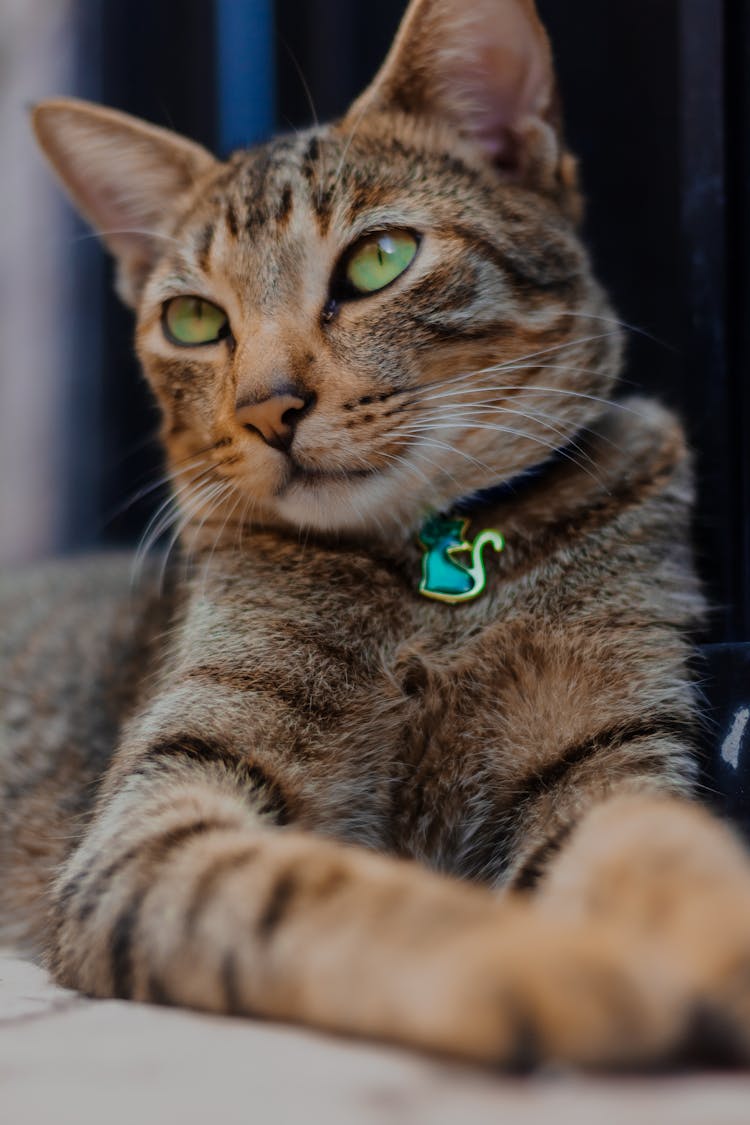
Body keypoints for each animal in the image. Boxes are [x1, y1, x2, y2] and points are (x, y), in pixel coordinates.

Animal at [4, 0, 750, 1066]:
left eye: (378, 260)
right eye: (192, 320)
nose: (267, 407)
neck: (431, 570)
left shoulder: (614, 747)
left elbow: (656, 842)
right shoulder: (158, 809)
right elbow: (313, 886)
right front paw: (542, 959)